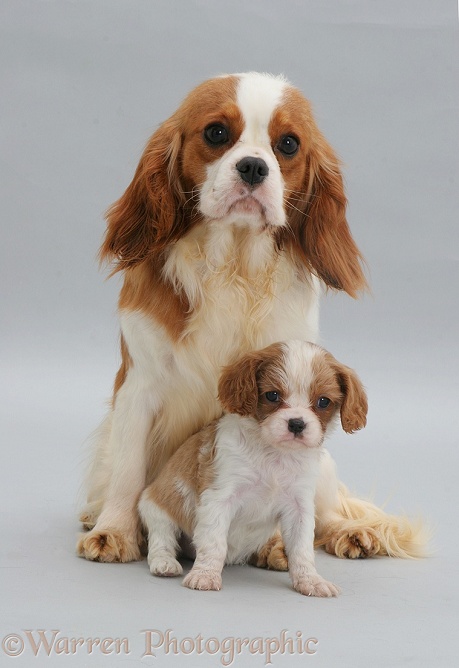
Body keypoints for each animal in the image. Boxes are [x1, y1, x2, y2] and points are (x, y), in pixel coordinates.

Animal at [138, 340, 368, 596]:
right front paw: (205, 575)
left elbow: (301, 549)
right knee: (162, 539)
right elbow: (214, 542)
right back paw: (165, 562)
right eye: (272, 395)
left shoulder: (299, 507)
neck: (275, 454)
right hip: (157, 507)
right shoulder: (218, 498)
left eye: (323, 401)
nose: (296, 423)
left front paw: (310, 580)